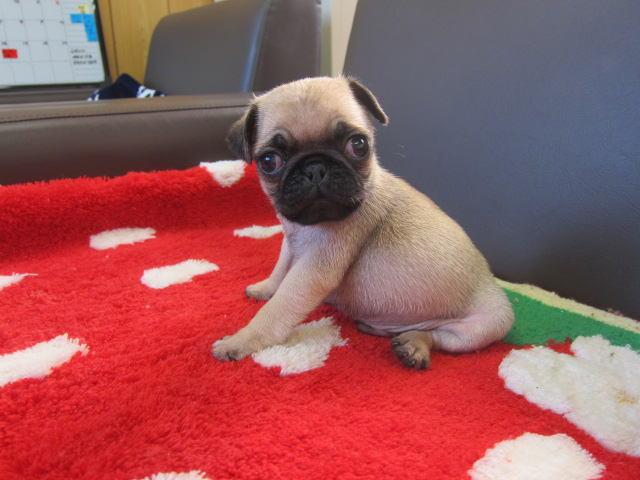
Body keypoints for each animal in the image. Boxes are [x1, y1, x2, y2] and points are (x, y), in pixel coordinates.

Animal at [212, 76, 514, 369]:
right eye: (268, 161)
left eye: (358, 145)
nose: (315, 167)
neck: (306, 227)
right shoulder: (291, 242)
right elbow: (280, 269)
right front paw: (265, 288)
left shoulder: (313, 270)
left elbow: (279, 307)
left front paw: (241, 340)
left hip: (487, 325)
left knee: (438, 336)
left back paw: (413, 345)